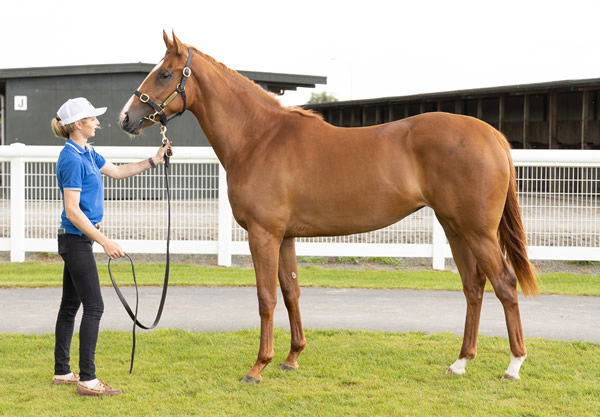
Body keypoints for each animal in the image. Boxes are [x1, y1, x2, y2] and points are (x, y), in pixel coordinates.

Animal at [119, 32, 536, 382]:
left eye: (165, 73)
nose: (126, 118)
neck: (260, 138)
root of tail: (493, 135)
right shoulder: (285, 237)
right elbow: (291, 291)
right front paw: (292, 358)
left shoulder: (263, 235)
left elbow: (266, 297)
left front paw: (258, 366)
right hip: (454, 228)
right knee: (474, 286)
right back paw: (460, 362)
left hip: (477, 231)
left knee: (504, 284)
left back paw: (513, 365)